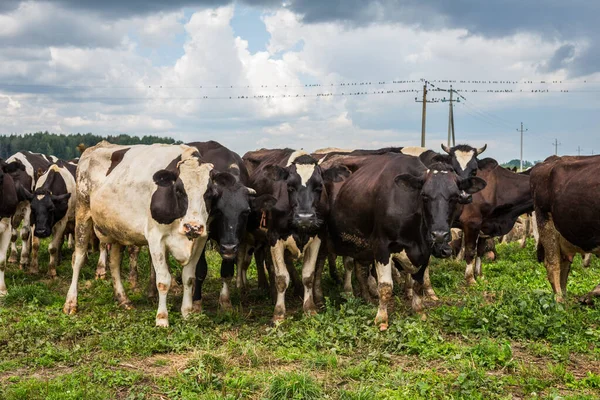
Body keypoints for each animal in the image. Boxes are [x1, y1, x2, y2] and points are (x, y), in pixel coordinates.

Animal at [62, 142, 213, 326]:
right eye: (179, 190)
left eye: (209, 192)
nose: (193, 227)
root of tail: (96, 147)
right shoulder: (156, 238)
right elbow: (163, 280)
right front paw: (162, 319)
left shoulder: (200, 241)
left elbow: (189, 278)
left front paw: (187, 313)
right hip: (82, 212)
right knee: (78, 258)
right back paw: (71, 303)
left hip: (117, 228)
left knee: (114, 263)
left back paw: (123, 299)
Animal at [326, 152, 486, 330]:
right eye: (424, 195)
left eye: (455, 197)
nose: (439, 234)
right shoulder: (382, 246)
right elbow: (385, 286)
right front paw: (381, 319)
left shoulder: (425, 249)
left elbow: (418, 283)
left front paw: (419, 310)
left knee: (360, 270)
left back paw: (367, 298)